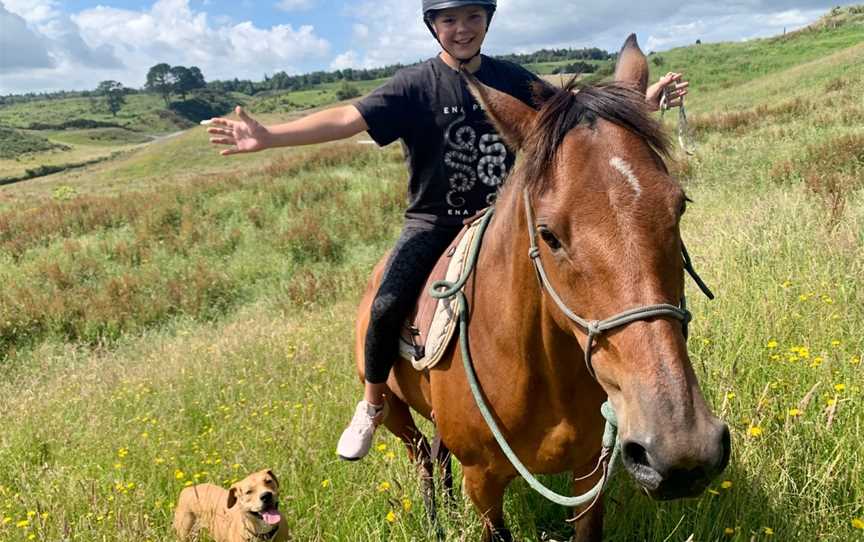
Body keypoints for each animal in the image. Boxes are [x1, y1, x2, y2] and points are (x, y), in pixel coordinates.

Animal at [356, 35, 728, 542]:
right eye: (548, 235)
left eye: (679, 206)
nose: (681, 451)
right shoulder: (483, 484)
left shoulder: (591, 470)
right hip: (394, 411)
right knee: (422, 460)